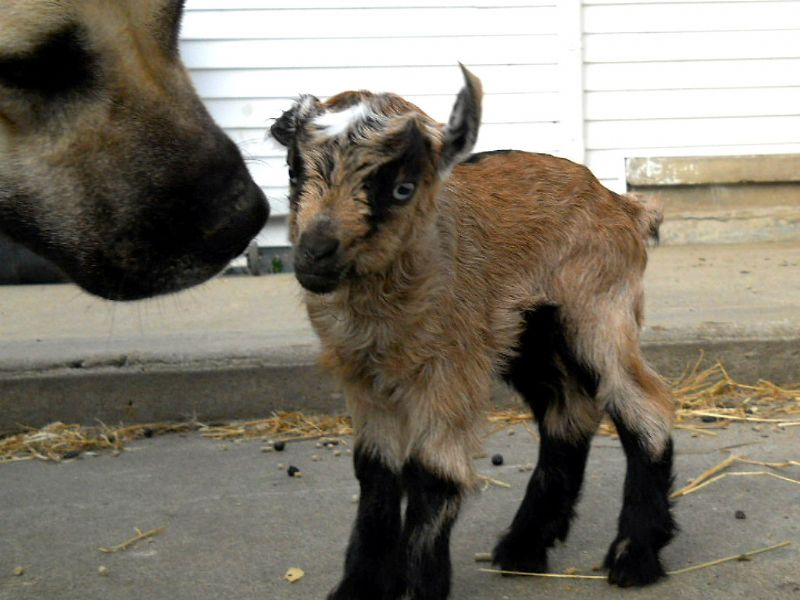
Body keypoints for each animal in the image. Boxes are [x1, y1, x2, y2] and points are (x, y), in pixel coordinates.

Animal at [272, 65, 680, 600]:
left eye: (402, 188)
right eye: (294, 171)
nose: (315, 253)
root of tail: (623, 205)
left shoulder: (449, 368)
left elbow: (432, 473)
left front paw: (419, 588)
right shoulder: (363, 378)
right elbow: (376, 471)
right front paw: (360, 587)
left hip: (597, 310)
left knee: (642, 402)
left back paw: (635, 556)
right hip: (527, 333)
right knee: (568, 409)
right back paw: (524, 547)